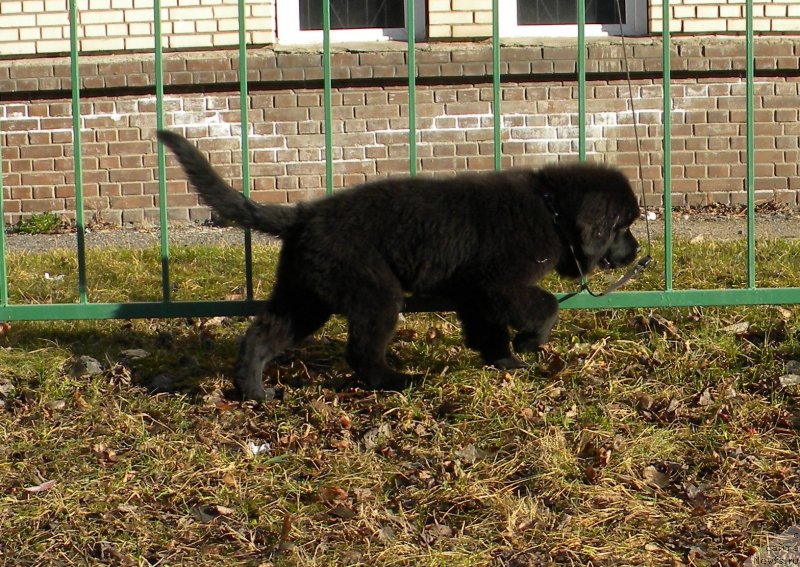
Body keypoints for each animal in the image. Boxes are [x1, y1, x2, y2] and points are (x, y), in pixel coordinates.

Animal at [159, 131, 640, 402]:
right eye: (623, 226)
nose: (636, 254)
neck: (551, 209)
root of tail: (304, 215)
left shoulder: (474, 293)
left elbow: (488, 331)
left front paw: (505, 362)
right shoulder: (499, 283)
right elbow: (545, 306)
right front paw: (529, 343)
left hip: (306, 295)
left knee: (261, 335)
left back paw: (254, 392)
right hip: (373, 292)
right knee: (362, 350)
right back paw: (396, 381)